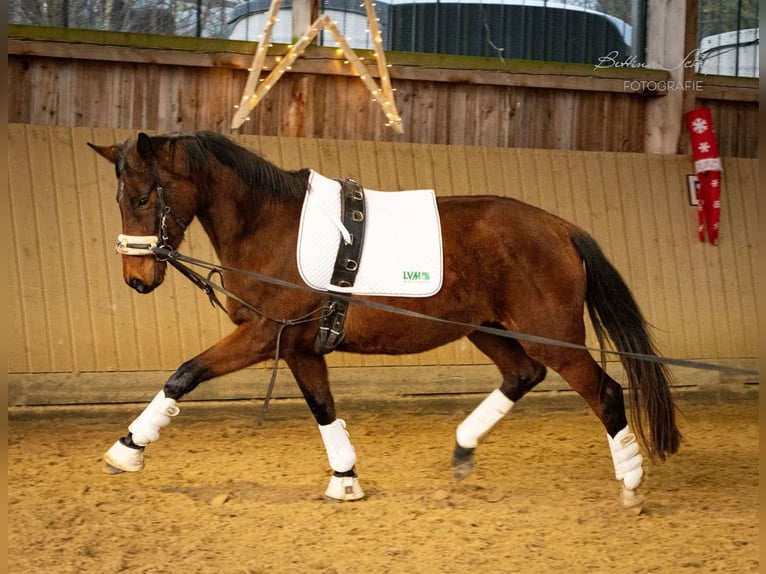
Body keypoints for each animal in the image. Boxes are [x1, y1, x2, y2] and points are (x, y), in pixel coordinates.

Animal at [87, 132, 680, 512]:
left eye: (143, 196)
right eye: (117, 198)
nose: (137, 278)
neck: (270, 226)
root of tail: (560, 227)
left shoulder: (262, 335)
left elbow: (183, 374)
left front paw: (127, 449)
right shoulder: (299, 347)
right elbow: (323, 409)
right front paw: (345, 480)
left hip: (554, 337)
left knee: (604, 392)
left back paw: (630, 485)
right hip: (487, 329)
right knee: (522, 375)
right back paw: (463, 448)